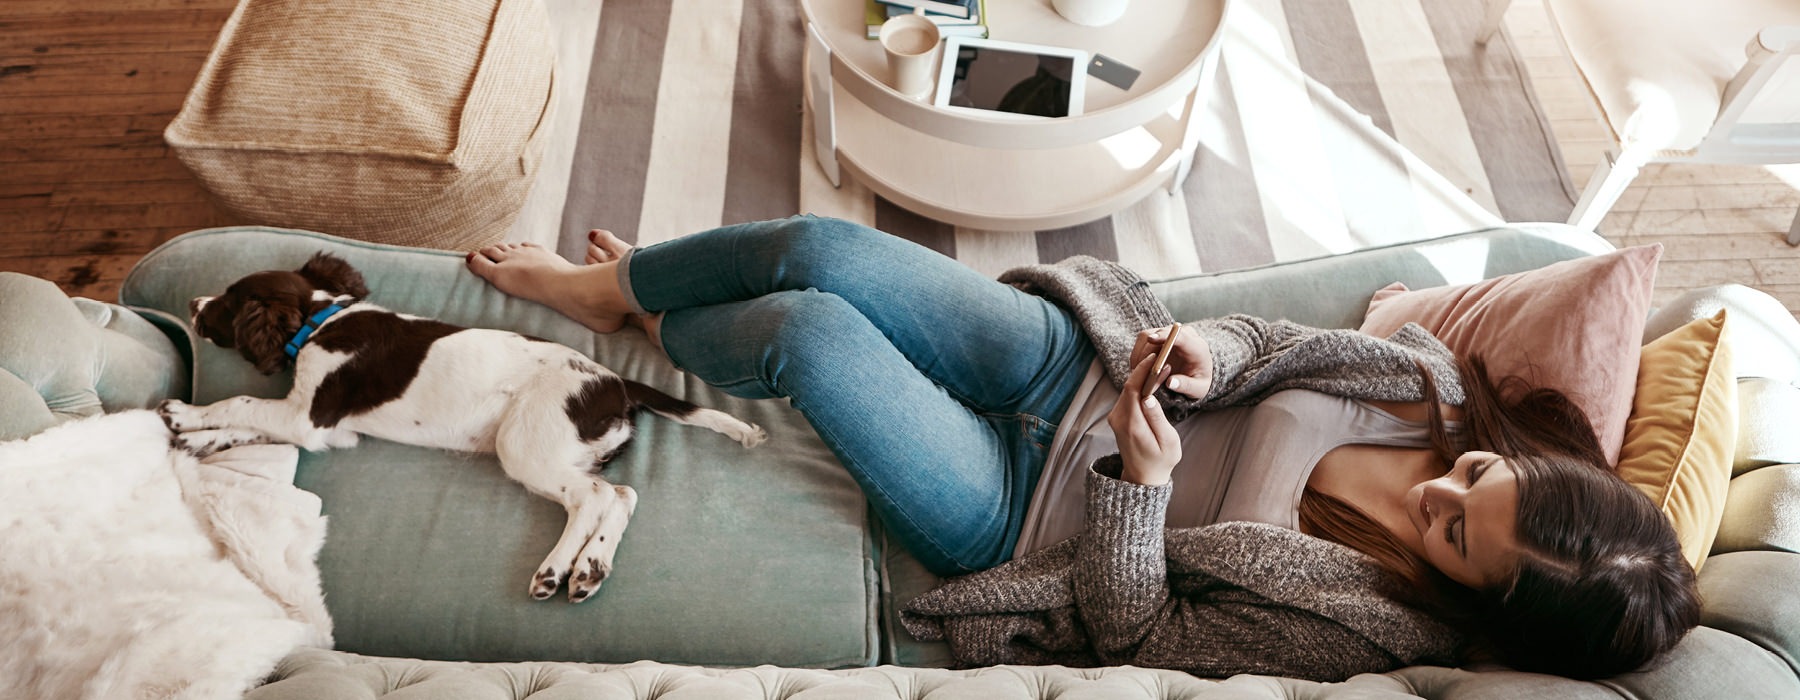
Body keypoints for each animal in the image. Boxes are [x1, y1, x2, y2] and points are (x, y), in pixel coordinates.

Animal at [160, 253, 766, 601]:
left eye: (227, 303)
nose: (191, 300)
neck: (320, 319)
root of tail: (615, 382)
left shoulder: (310, 416)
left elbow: (243, 401)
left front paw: (188, 415)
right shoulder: (326, 427)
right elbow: (250, 425)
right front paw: (199, 438)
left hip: (524, 443)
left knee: (592, 497)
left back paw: (556, 570)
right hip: (568, 450)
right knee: (621, 494)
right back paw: (590, 568)